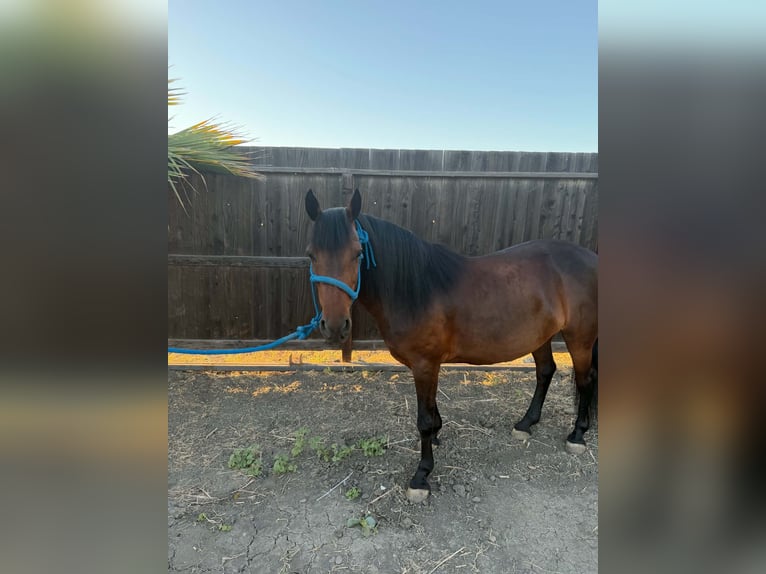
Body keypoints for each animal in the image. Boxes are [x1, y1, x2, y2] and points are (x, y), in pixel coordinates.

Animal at [305, 188, 598, 503]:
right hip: (539, 336)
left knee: (584, 380)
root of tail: (590, 258)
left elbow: (423, 418)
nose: (335, 326)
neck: (416, 289)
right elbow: (431, 409)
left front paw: (422, 475)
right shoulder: (428, 366)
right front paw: (436, 436)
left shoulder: (424, 364)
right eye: (311, 254)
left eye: (358, 253)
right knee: (545, 371)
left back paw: (577, 435)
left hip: (579, 337)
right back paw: (525, 424)